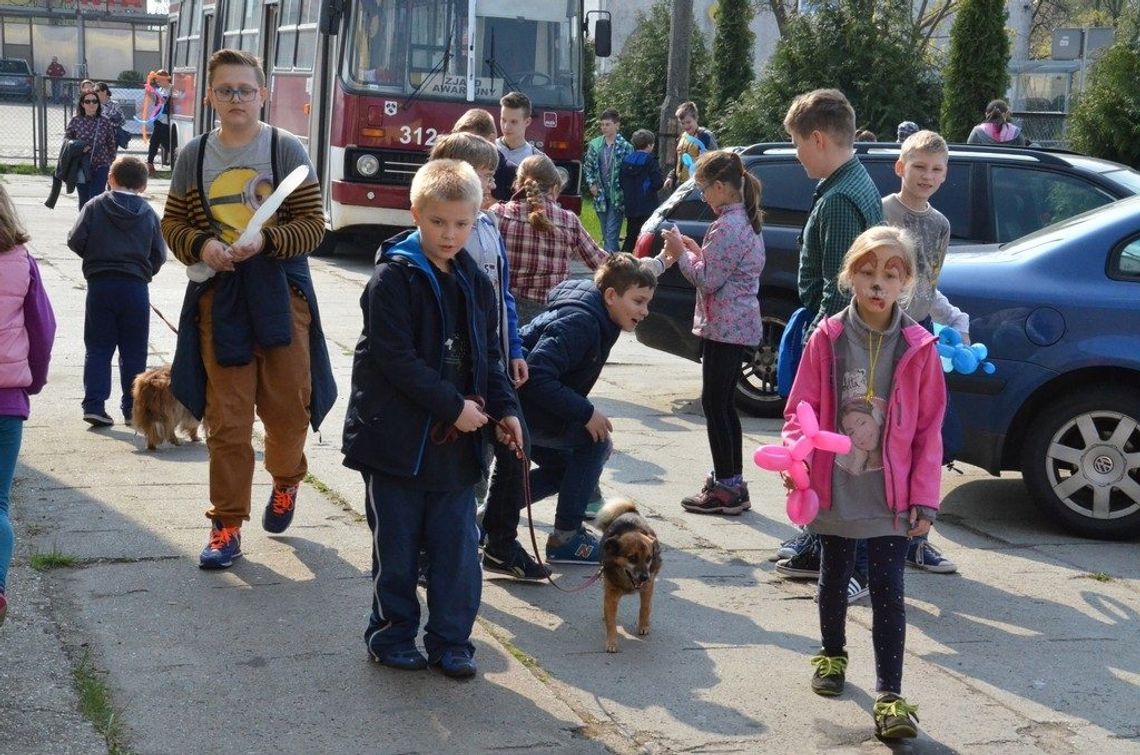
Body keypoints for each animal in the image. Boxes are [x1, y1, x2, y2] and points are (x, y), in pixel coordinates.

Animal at [592, 499, 665, 652]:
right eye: (632, 558)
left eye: (649, 558)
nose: (645, 577)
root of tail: (630, 511)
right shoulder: (611, 595)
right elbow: (611, 622)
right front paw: (612, 641)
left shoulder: (648, 588)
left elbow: (645, 608)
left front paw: (643, 625)